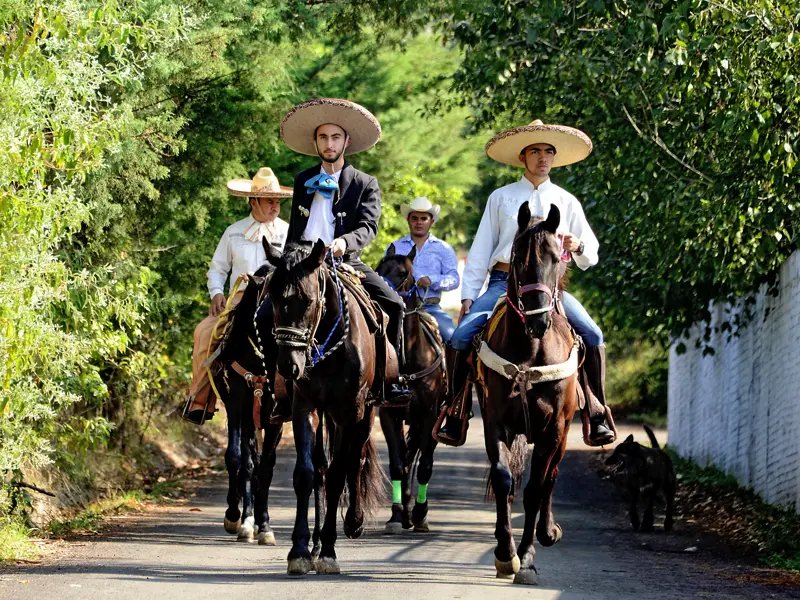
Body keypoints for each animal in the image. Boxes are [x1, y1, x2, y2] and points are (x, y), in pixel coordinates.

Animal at [264, 239, 386, 576]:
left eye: (307, 301)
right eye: (273, 299)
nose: (288, 366)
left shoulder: (350, 412)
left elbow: (337, 476)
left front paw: (330, 552)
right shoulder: (305, 407)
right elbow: (306, 474)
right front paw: (300, 550)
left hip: (366, 415)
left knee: (354, 461)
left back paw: (353, 523)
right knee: (320, 466)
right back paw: (316, 543)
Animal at [478, 204, 580, 584]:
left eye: (555, 256)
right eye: (519, 257)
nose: (538, 321)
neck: (531, 352)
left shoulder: (554, 429)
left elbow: (536, 487)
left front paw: (528, 557)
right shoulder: (495, 423)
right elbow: (503, 479)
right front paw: (505, 553)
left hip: (563, 433)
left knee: (550, 477)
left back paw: (547, 531)